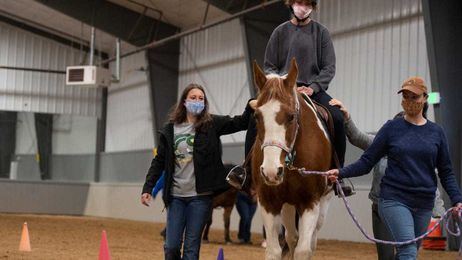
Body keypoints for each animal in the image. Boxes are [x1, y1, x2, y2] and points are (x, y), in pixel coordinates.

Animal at [251, 60, 334, 258]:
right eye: (257, 116)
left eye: (291, 116)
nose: (271, 171)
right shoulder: (268, 202)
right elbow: (274, 251)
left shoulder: (310, 202)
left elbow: (304, 250)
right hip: (288, 205)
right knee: (291, 237)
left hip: (323, 203)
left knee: (311, 241)